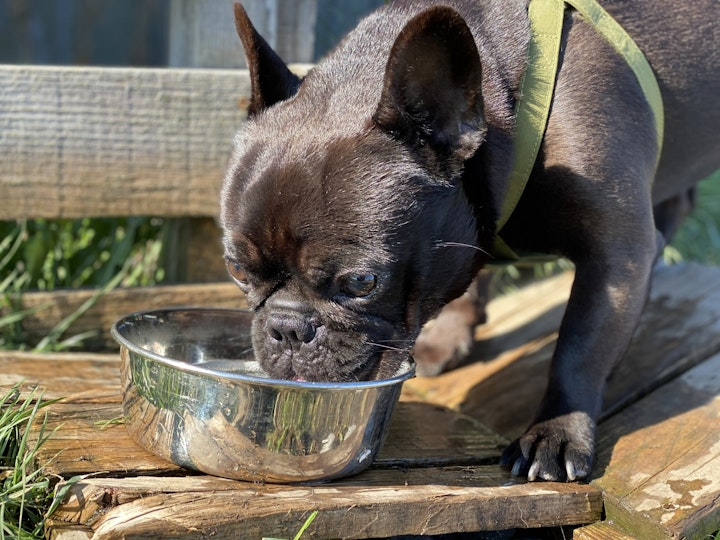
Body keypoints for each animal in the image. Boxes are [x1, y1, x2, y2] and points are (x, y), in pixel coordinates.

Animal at [221, 0, 720, 480]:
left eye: (361, 282)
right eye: (237, 270)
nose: (287, 328)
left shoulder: (615, 256)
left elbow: (579, 349)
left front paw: (557, 431)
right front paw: (448, 334)